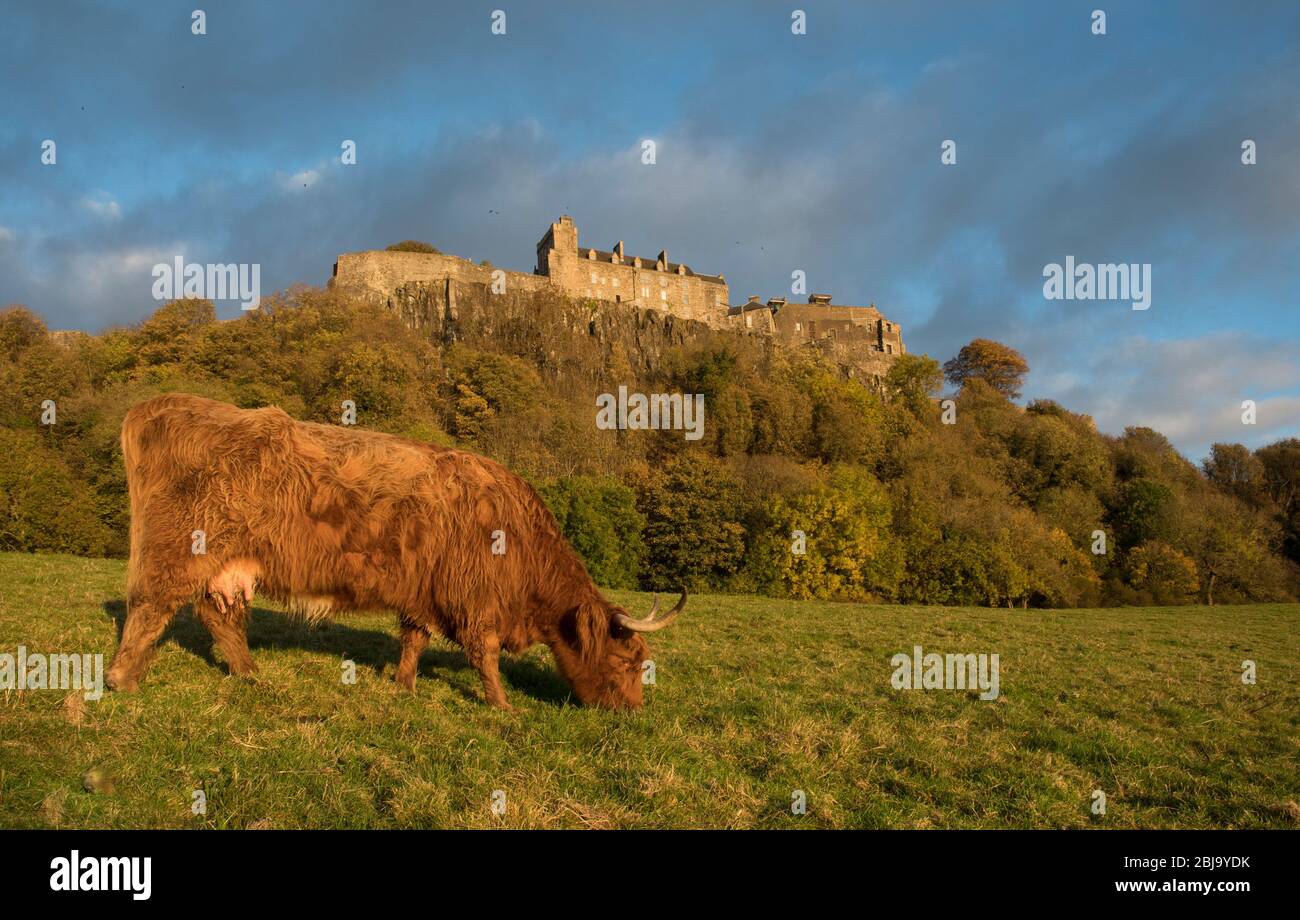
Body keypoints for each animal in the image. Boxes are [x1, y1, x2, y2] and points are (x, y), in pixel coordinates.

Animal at [106, 392, 686, 706]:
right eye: (629, 659)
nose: (632, 711)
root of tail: (158, 407)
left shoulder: (423, 591)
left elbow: (414, 639)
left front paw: (404, 686)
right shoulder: (475, 601)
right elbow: (485, 655)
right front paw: (502, 706)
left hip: (227, 563)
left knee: (219, 615)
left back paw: (249, 673)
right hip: (180, 548)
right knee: (151, 605)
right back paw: (121, 680)